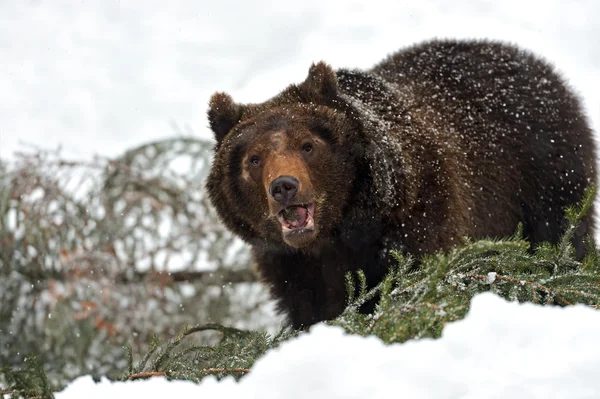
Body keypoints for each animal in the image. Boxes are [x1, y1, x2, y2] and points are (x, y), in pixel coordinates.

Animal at [205, 39, 596, 330]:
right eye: (253, 159)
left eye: (307, 145)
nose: (284, 186)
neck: (342, 230)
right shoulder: (290, 266)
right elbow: (310, 309)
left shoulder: (419, 223)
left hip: (549, 176)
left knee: (562, 244)